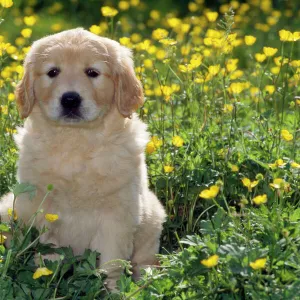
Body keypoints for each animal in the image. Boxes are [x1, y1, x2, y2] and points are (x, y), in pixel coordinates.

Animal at [0, 28, 166, 290]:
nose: (70, 99)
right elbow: (47, 254)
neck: (77, 142)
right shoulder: (43, 211)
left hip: (153, 218)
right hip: (9, 209)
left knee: (145, 260)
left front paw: (111, 290)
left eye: (92, 72)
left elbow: (111, 263)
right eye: (53, 72)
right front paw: (47, 281)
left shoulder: (117, 216)